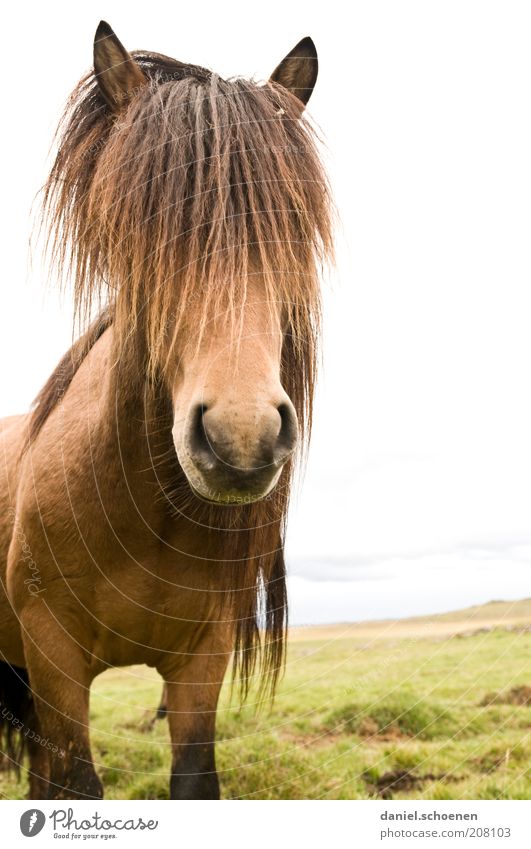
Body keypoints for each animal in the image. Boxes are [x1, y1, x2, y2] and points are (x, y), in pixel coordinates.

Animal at [0, 21, 332, 800]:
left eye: (291, 227)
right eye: (136, 230)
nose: (241, 438)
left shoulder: (201, 661)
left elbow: (193, 779)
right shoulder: (56, 662)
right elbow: (77, 786)